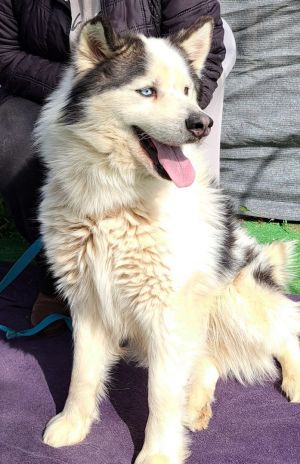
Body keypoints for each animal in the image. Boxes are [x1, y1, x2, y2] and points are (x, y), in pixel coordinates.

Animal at [35, 15, 300, 464]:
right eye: (147, 91)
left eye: (188, 92)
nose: (202, 124)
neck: (117, 204)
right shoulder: (89, 302)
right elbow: (81, 375)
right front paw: (73, 425)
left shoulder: (168, 312)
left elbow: (159, 395)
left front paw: (158, 453)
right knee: (207, 362)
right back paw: (195, 406)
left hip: (234, 298)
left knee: (286, 332)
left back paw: (293, 381)